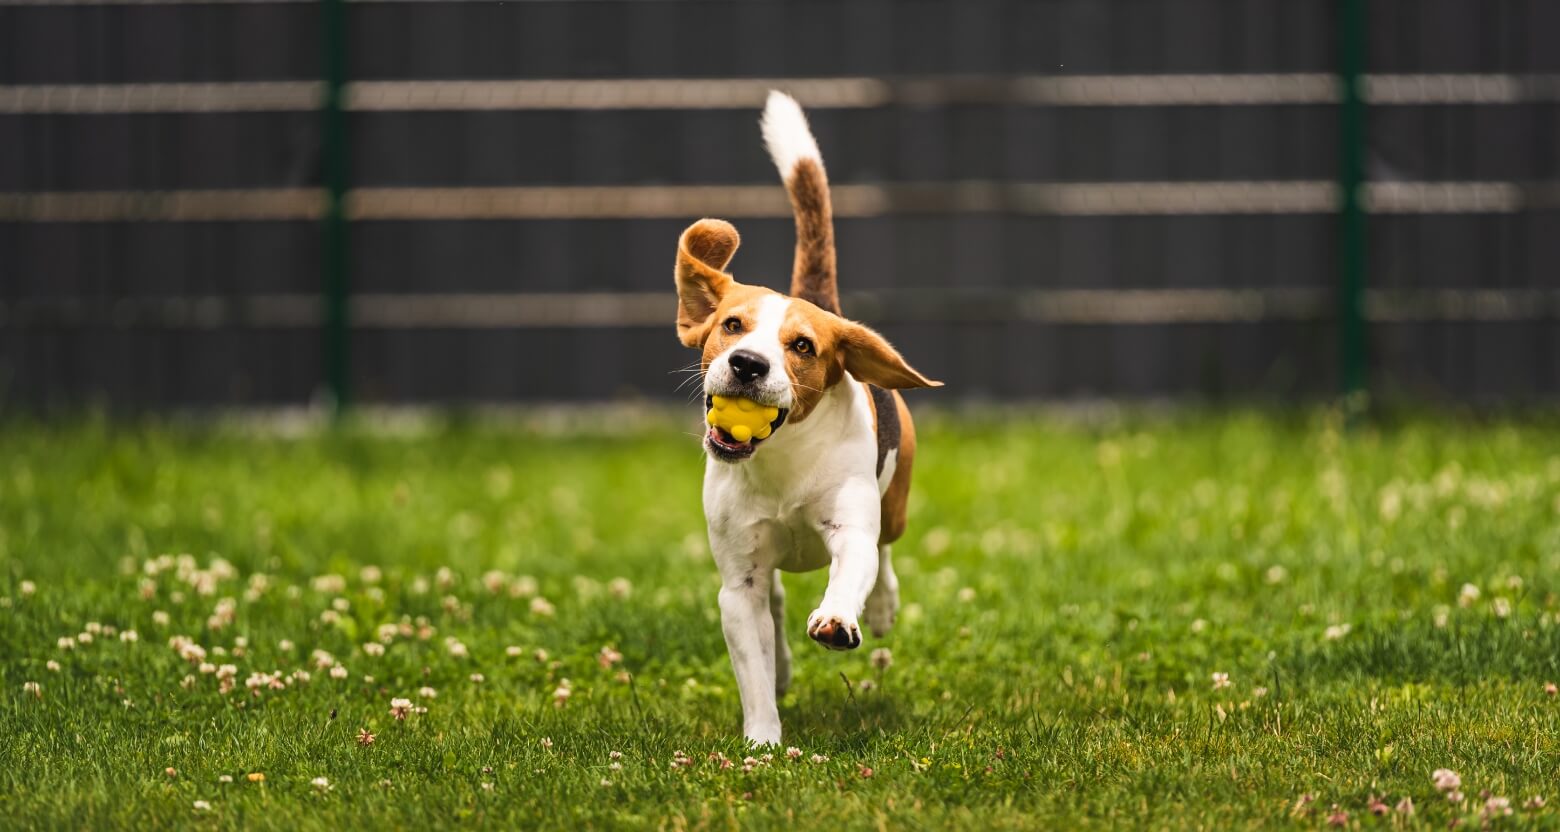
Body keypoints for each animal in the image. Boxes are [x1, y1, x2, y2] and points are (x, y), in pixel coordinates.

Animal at [670, 90, 935, 739]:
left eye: (803, 347)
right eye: (731, 325)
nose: (746, 364)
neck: (780, 460)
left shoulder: (851, 531)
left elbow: (854, 568)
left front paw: (840, 619)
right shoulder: (738, 584)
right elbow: (753, 666)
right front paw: (763, 740)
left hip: (894, 504)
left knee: (885, 552)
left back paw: (882, 606)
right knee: (777, 605)